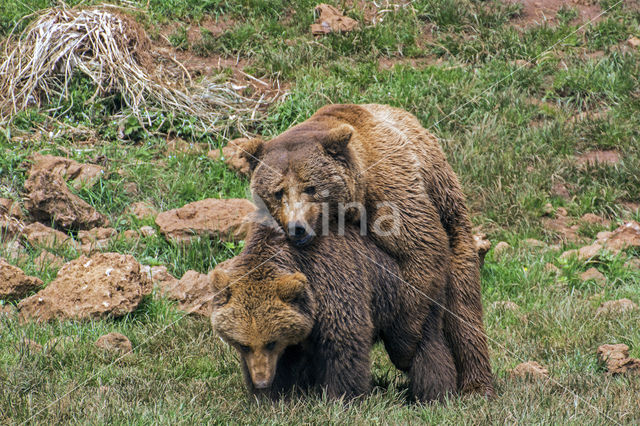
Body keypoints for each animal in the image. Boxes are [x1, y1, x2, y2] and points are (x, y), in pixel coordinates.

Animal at [209, 223, 456, 402]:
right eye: (243, 345)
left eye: (270, 342)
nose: (261, 381)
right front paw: (271, 395)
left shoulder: (333, 278)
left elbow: (343, 343)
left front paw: (342, 397)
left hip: (405, 296)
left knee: (424, 345)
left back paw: (433, 395)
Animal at [240, 103, 496, 396]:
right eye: (278, 191)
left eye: (311, 187)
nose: (297, 228)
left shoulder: (392, 189)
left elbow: (421, 249)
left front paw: (403, 348)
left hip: (452, 217)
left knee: (463, 309)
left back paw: (476, 385)